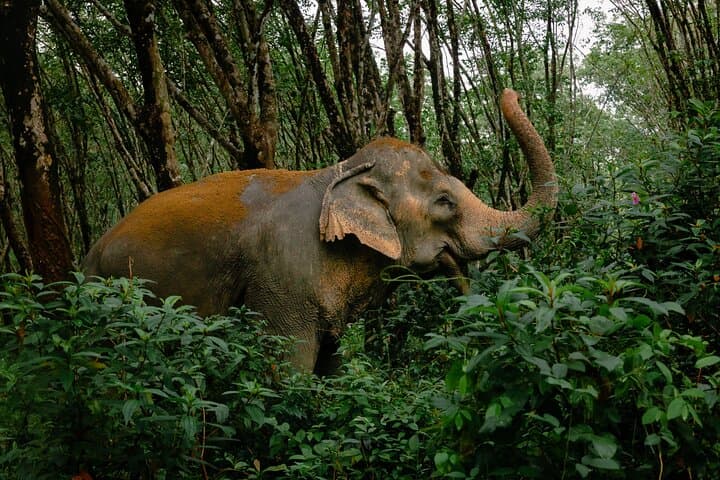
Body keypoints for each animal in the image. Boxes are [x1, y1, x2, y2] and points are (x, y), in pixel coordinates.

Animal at [83, 88, 557, 374]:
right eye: (445, 202)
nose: (509, 92)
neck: (338, 171)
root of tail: (91, 252)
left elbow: (333, 361)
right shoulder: (283, 278)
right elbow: (289, 372)